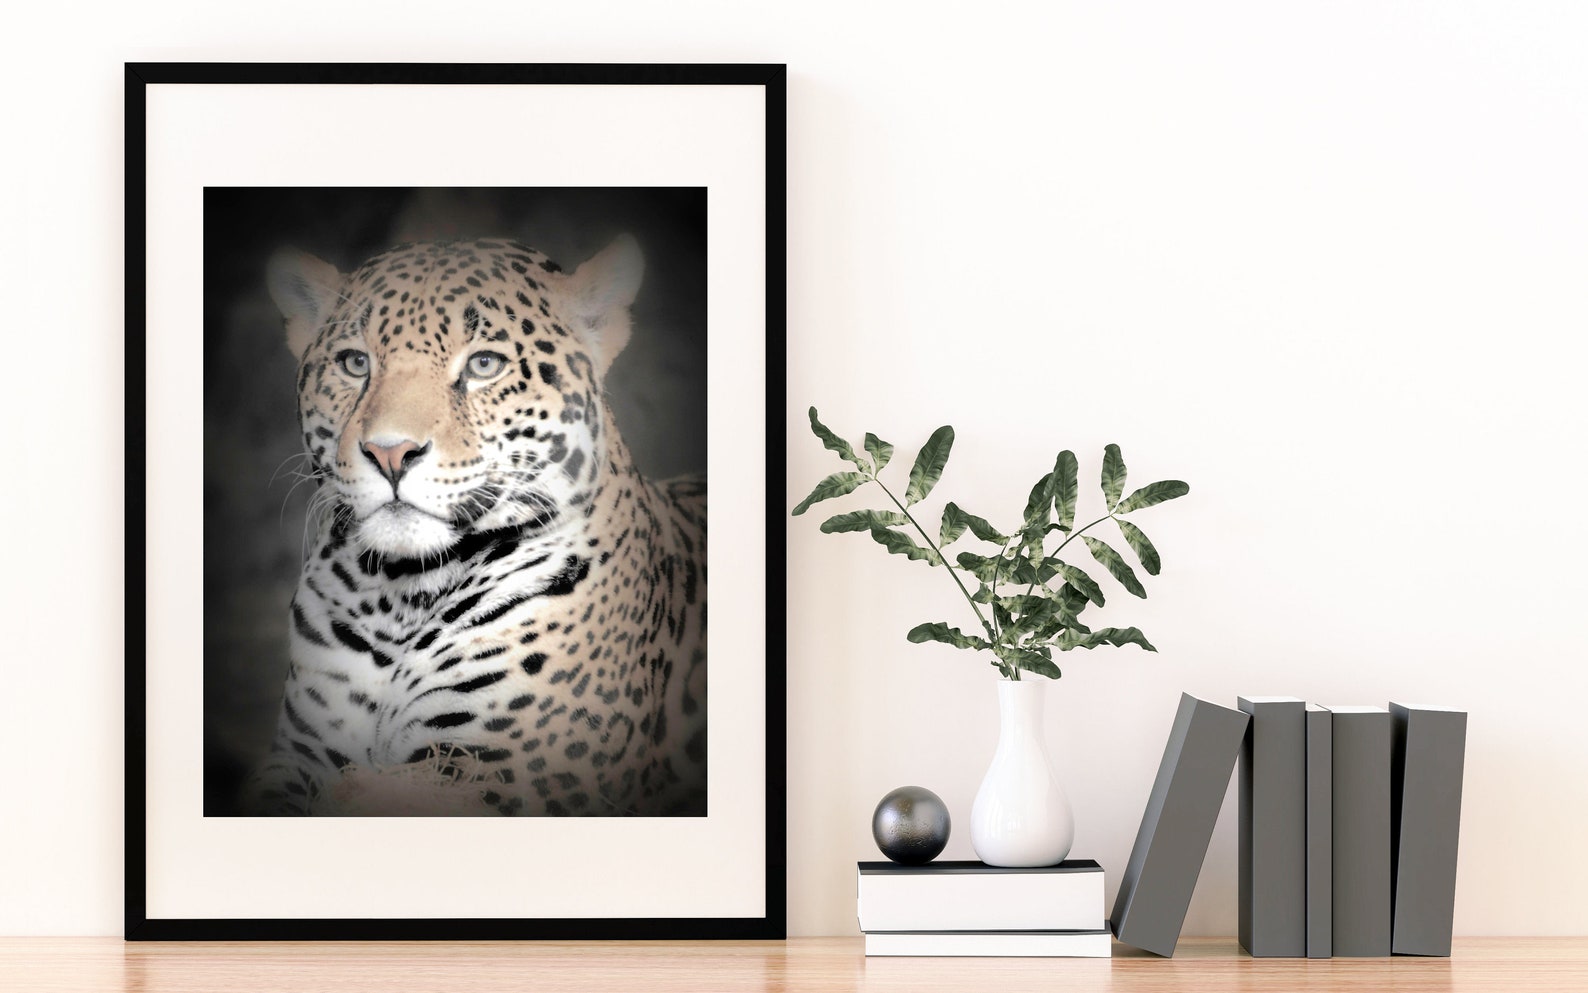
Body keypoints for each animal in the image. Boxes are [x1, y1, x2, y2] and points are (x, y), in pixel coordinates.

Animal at [243, 235, 706, 816]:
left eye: (485, 364)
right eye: (354, 363)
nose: (390, 453)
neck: (399, 595)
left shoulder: (519, 775)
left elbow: (380, 791)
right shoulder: (302, 751)